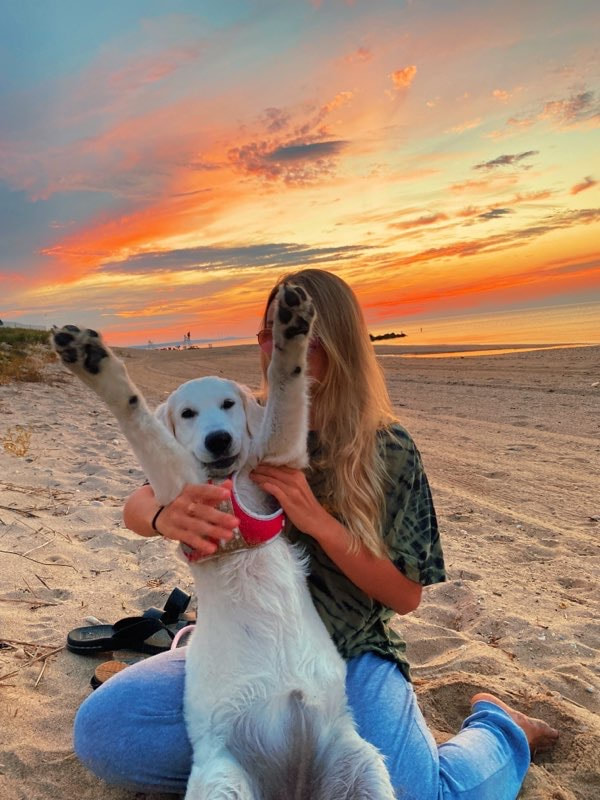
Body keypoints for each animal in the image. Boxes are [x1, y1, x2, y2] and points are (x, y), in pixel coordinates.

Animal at [52, 284, 398, 796]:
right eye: (187, 414)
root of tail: (290, 789)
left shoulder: (280, 457)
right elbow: (142, 424)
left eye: (229, 405)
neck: (226, 480)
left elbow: (286, 390)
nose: (217, 440)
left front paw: (291, 328)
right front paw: (95, 364)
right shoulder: (182, 491)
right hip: (224, 779)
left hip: (364, 766)